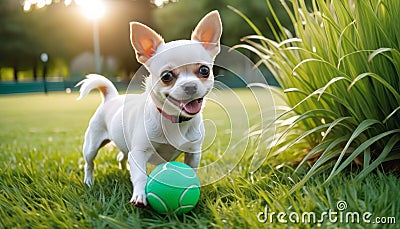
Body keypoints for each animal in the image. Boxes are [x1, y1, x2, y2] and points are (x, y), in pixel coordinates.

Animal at [76, 10, 223, 207]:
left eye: (204, 70)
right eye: (166, 76)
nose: (190, 86)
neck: (173, 120)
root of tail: (111, 97)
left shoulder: (193, 153)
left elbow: (192, 171)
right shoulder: (139, 152)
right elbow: (140, 177)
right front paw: (139, 195)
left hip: (125, 145)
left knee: (122, 156)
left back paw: (123, 169)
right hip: (92, 145)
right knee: (89, 164)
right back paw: (89, 181)